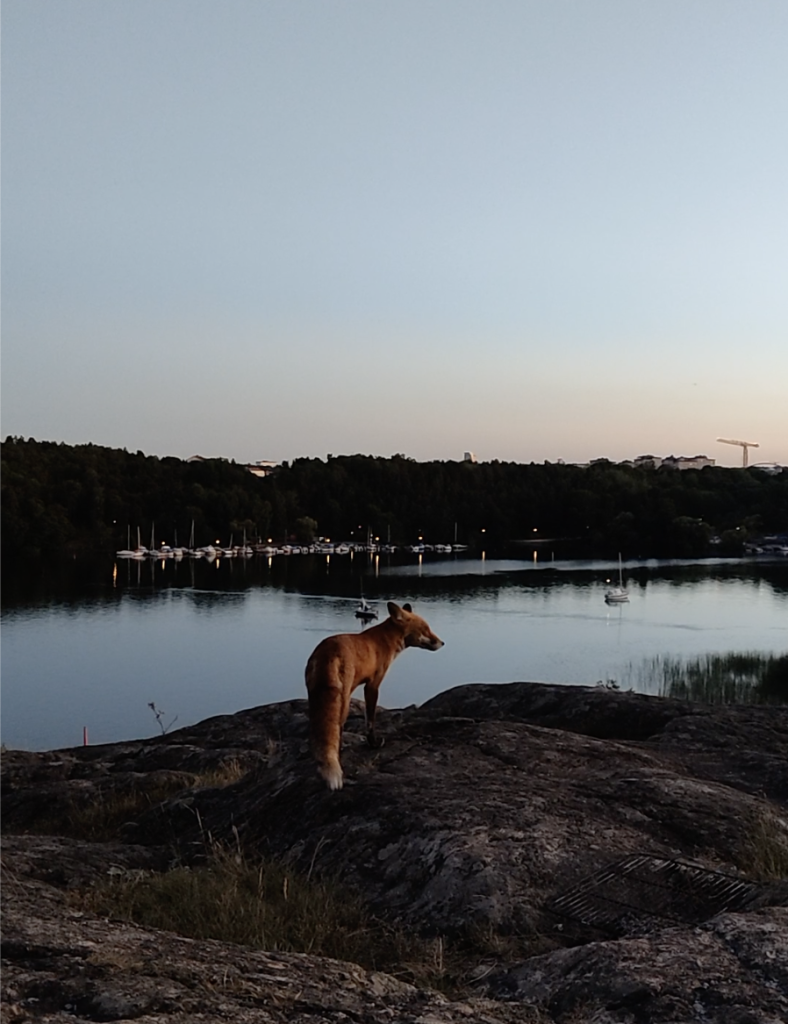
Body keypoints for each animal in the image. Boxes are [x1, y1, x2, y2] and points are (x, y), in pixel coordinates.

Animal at [302, 598, 442, 790]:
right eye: (425, 629)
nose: (442, 643)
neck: (385, 640)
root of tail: (326, 652)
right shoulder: (373, 685)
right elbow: (370, 721)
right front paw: (373, 744)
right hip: (344, 700)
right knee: (337, 729)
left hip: (316, 696)